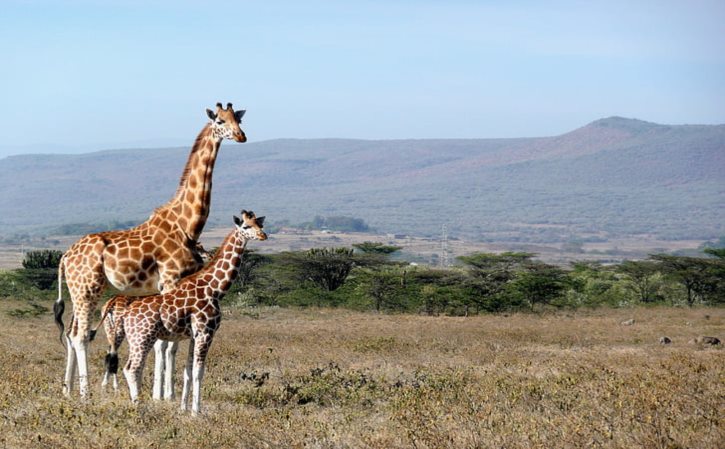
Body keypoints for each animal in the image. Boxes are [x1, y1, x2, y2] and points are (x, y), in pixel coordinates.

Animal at [54, 100, 246, 396]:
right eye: (220, 121)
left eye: (239, 119)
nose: (240, 136)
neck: (187, 224)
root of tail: (65, 256)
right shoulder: (170, 280)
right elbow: (165, 344)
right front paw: (164, 395)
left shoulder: (174, 286)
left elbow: (167, 343)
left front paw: (164, 393)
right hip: (88, 289)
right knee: (80, 335)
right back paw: (85, 394)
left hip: (78, 291)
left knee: (71, 332)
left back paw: (68, 390)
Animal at [96, 209, 266, 412]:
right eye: (246, 226)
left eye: (260, 224)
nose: (263, 235)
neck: (214, 289)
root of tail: (125, 314)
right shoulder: (205, 332)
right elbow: (199, 371)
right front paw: (196, 411)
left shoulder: (194, 335)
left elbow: (188, 371)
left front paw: (184, 408)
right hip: (142, 337)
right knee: (131, 368)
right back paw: (138, 405)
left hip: (133, 337)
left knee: (127, 364)